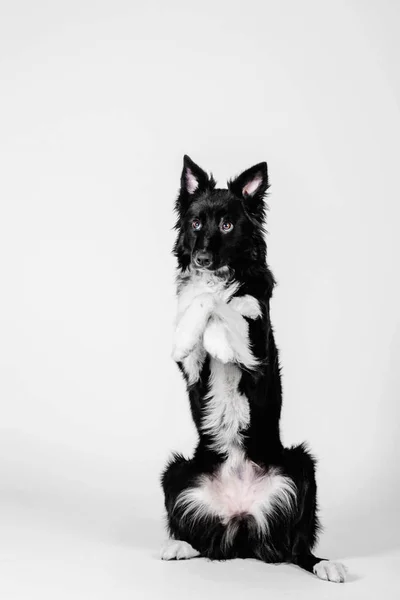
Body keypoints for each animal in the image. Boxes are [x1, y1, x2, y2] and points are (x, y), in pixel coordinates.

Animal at [160, 155, 346, 580]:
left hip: (301, 464)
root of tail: (240, 518)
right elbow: (197, 309)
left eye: (228, 225)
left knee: (297, 546)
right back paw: (178, 546)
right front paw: (187, 334)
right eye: (196, 223)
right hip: (176, 470)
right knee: (198, 537)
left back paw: (325, 565)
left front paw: (216, 331)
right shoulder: (192, 370)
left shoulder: (257, 353)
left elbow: (223, 305)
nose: (202, 259)